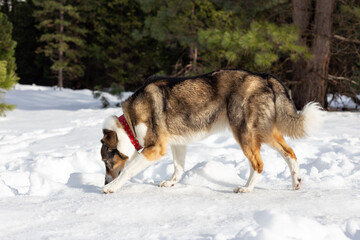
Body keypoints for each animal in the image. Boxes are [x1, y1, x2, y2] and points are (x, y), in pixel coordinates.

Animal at [100, 68, 322, 194]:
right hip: (264, 133)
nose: (104, 180)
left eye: (107, 163)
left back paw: (247, 188)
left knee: (258, 164)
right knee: (289, 153)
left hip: (245, 133)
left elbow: (128, 170)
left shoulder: (155, 148)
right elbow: (178, 168)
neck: (129, 123)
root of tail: (264, 77)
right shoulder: (178, 144)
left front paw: (111, 187)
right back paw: (296, 183)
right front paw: (171, 184)